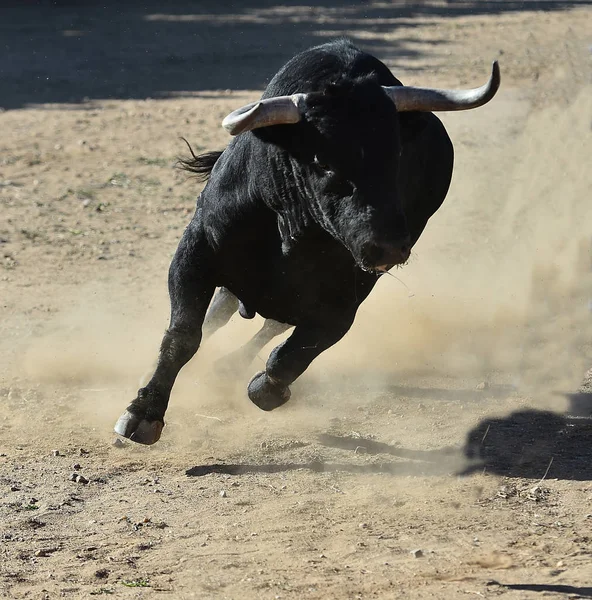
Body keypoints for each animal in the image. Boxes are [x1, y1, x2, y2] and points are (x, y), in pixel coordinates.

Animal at [114, 39, 500, 442]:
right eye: (322, 160)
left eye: (397, 155)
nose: (388, 246)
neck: (292, 231)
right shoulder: (196, 251)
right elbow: (183, 335)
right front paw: (143, 413)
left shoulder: (348, 294)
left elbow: (297, 351)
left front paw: (266, 387)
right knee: (220, 314)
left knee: (270, 325)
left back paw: (227, 368)